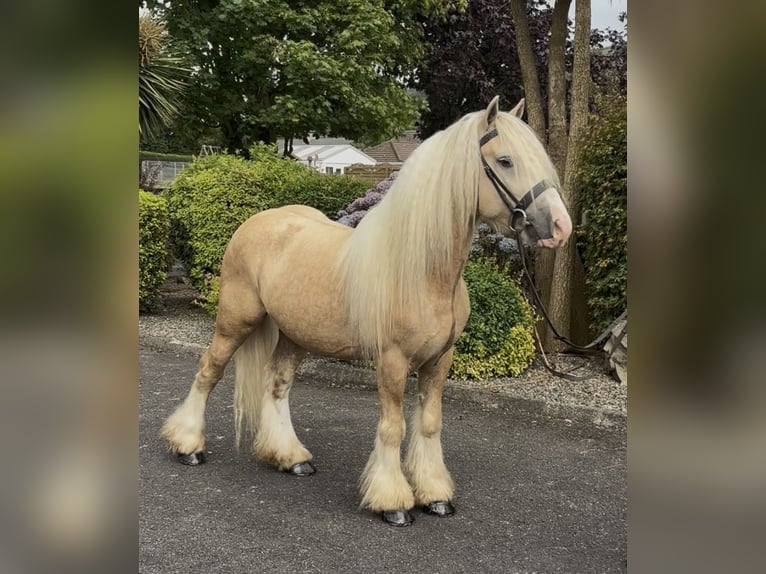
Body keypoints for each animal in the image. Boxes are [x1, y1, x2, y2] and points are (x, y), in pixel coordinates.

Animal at [161, 96, 573, 527]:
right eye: (506, 160)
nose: (560, 225)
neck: (422, 272)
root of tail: (255, 222)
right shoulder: (392, 362)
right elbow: (393, 428)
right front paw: (393, 501)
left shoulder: (439, 361)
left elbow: (429, 423)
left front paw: (435, 495)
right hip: (235, 321)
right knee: (209, 371)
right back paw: (188, 445)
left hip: (293, 334)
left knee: (277, 385)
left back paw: (290, 457)